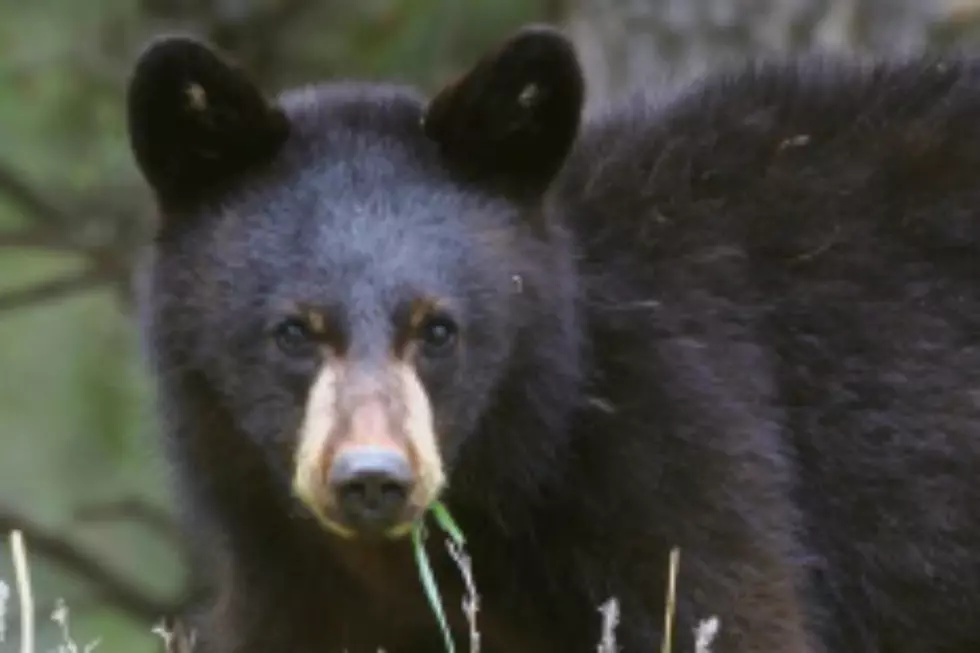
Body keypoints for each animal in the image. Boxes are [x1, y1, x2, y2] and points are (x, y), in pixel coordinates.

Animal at [130, 22, 980, 652]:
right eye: (293, 330)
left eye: (438, 328)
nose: (372, 478)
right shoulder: (296, 579)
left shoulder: (683, 465)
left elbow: (728, 613)